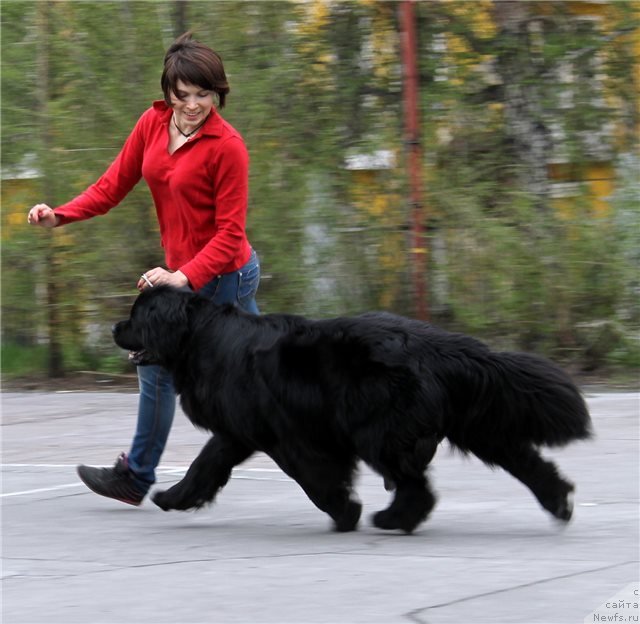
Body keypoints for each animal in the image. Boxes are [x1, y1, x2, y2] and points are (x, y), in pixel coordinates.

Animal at [114, 286, 592, 532]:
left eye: (137, 316)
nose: (116, 327)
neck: (201, 336)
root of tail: (436, 344)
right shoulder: (238, 433)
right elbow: (205, 466)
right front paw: (174, 496)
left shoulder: (290, 438)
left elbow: (316, 480)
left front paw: (346, 513)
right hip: (474, 423)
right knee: (524, 460)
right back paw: (560, 502)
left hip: (377, 430)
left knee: (418, 486)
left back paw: (392, 518)